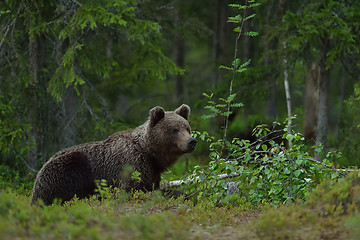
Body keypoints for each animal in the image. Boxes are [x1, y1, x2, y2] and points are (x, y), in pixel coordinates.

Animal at [31, 104, 197, 205]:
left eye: (187, 128)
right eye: (174, 130)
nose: (192, 141)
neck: (151, 154)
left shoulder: (153, 171)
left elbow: (153, 185)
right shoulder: (130, 164)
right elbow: (134, 189)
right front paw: (179, 193)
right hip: (66, 168)